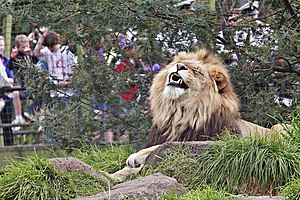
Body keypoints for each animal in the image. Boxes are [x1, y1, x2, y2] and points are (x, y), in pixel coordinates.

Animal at [111, 48, 284, 181]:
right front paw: (112, 175)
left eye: (195, 70)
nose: (179, 66)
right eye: (179, 63)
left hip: (279, 127)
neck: (179, 113)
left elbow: (160, 147)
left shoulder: (221, 141)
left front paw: (136, 156)